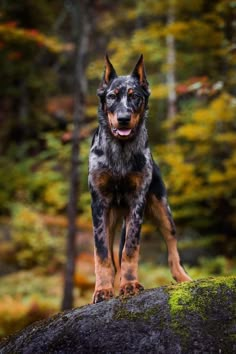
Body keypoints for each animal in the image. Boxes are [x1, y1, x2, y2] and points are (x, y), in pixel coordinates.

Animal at [88, 54, 192, 302]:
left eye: (135, 96)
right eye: (112, 96)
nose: (124, 118)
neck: (120, 150)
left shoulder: (137, 202)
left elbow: (130, 249)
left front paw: (130, 285)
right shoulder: (99, 204)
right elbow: (102, 254)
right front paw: (103, 290)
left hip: (162, 210)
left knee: (172, 250)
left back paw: (184, 279)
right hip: (112, 218)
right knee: (111, 256)